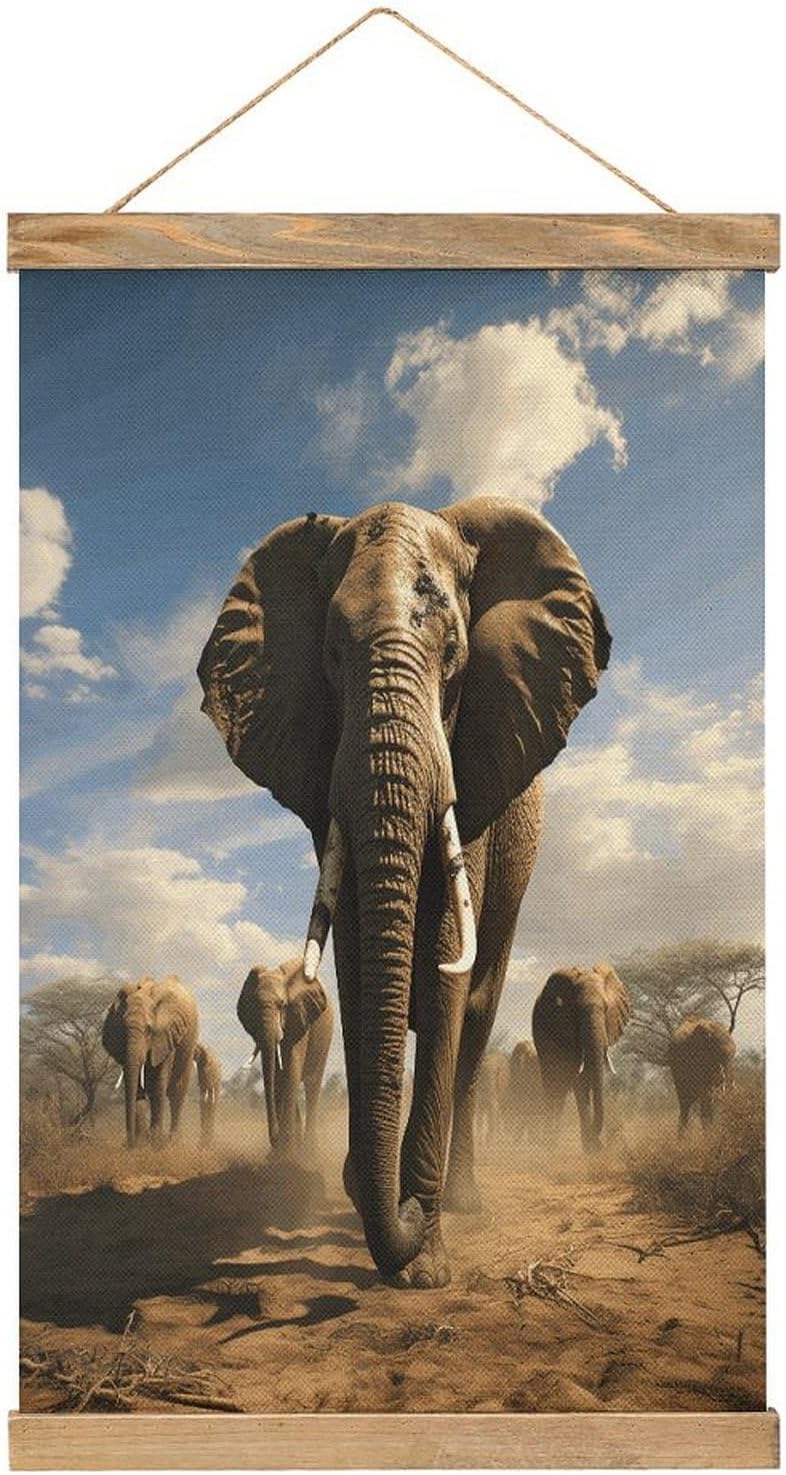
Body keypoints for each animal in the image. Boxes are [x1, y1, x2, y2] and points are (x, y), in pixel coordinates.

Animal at [102, 976, 199, 1147]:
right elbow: (137, 1084)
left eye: (149, 1030)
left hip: (190, 1040)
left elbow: (158, 1082)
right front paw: (141, 1142)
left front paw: (155, 1142)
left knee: (176, 1090)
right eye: (123, 1029)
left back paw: (173, 1141)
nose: (128, 1144)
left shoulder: (166, 1034)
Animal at [237, 958, 334, 1158]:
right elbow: (277, 1077)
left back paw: (309, 1153)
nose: (273, 1140)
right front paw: (278, 1156)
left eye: (282, 1005)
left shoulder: (300, 1018)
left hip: (324, 1039)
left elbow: (290, 1073)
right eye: (254, 1006)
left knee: (312, 1085)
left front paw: (285, 1157)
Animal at [532, 964, 629, 1151]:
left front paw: (593, 1147)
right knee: (554, 1086)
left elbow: (588, 1078)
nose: (601, 1143)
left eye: (606, 1008)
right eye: (576, 1011)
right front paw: (592, 1147)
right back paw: (549, 1145)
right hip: (541, 1041)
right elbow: (577, 1079)